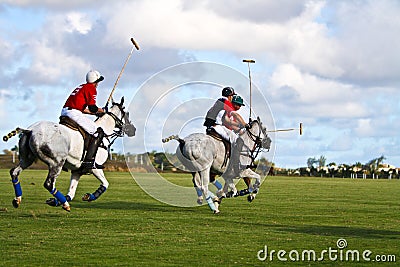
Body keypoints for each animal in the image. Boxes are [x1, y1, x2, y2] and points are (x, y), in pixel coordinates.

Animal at [2, 97, 136, 213]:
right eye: (126, 113)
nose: (133, 130)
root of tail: (31, 130)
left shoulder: (77, 171)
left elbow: (71, 193)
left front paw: (54, 201)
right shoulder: (94, 167)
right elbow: (105, 184)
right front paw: (89, 196)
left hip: (27, 159)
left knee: (14, 172)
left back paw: (17, 200)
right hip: (56, 162)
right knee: (49, 183)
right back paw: (65, 205)